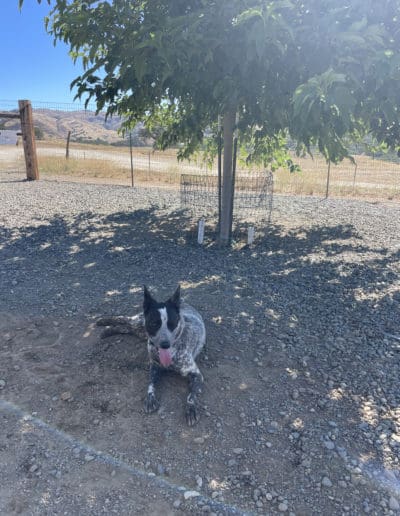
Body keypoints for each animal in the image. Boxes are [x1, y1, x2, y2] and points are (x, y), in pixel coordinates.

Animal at [143, 284, 206, 426]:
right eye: (154, 323)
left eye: (172, 323)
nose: (165, 344)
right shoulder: (154, 366)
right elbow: (150, 383)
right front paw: (150, 398)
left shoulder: (196, 374)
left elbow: (191, 395)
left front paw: (191, 408)